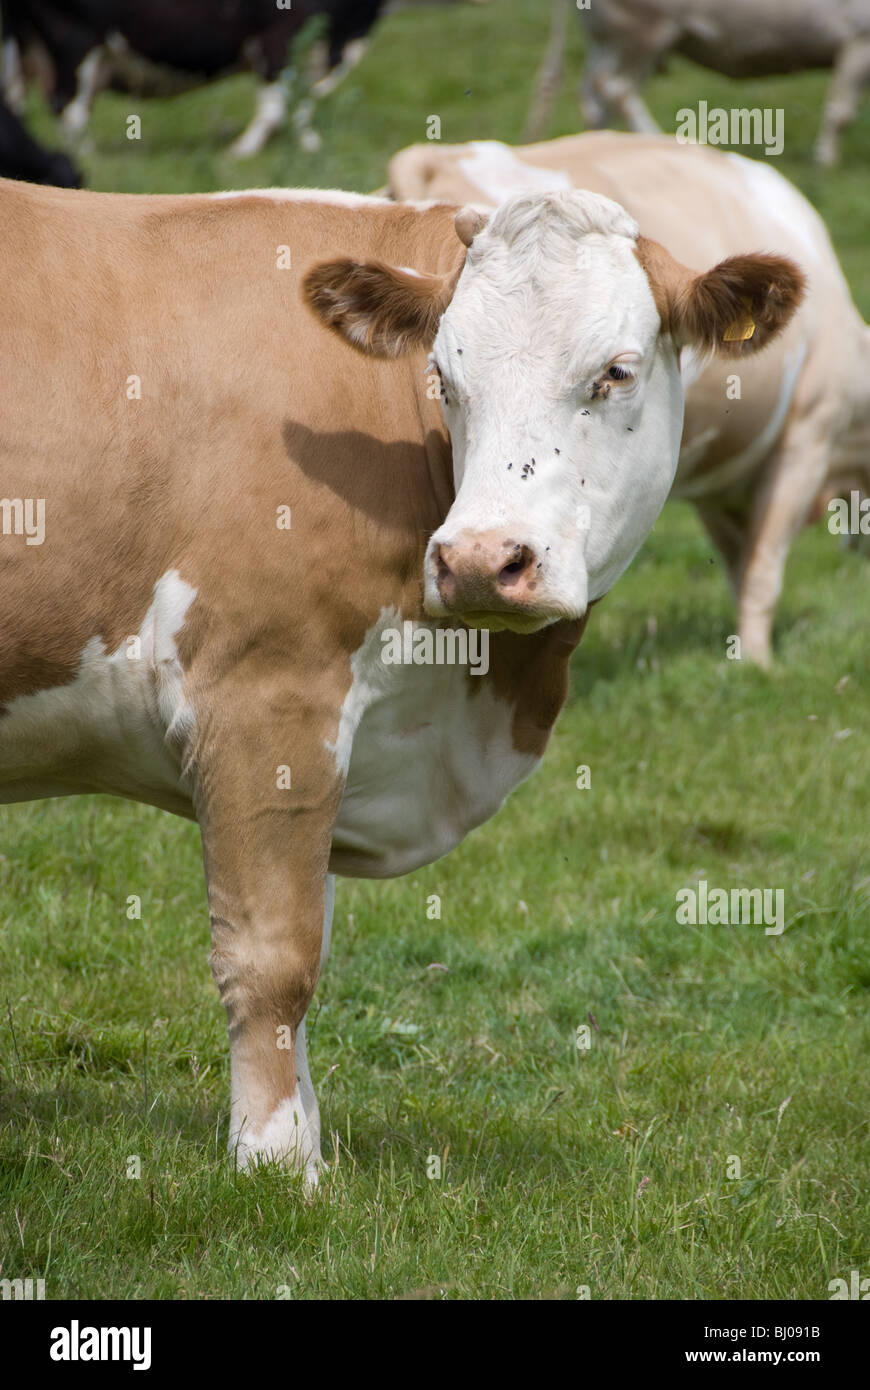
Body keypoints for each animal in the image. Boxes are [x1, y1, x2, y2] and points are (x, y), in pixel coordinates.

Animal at [0, 0, 489, 157]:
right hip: (73, 41)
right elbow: (276, 100)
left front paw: (308, 144)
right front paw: (244, 150)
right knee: (69, 106)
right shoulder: (282, 35)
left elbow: (300, 102)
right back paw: (89, 155)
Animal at [0, 170, 800, 1173]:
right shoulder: (267, 698)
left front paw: (307, 1144)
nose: (480, 559)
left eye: (614, 372)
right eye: (444, 378)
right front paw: (274, 1165)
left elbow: (313, 937)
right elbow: (274, 957)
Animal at [386, 131, 867, 667]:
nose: (476, 563)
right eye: (441, 379)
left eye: (616, 373)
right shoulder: (810, 433)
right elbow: (763, 571)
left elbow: (743, 568)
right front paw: (758, 665)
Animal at [572, 0, 867, 167]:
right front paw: (825, 162)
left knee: (594, 94)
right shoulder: (858, 41)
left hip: (610, 39)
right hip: (641, 32)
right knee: (616, 89)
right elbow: (841, 113)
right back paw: (654, 138)